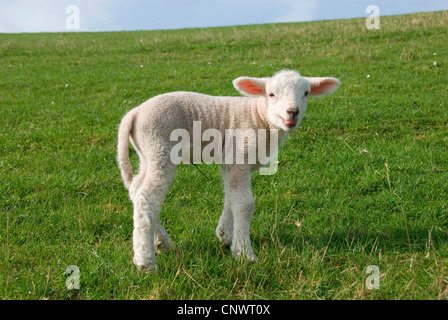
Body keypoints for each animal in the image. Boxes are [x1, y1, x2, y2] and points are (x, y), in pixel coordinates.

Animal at [117, 69, 342, 270]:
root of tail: (134, 113)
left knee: (136, 191)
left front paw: (226, 235)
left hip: (147, 154)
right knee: (147, 198)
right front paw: (244, 253)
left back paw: (161, 242)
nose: (292, 112)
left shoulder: (232, 162)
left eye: (306, 93)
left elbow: (231, 198)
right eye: (271, 94)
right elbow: (245, 204)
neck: (259, 117)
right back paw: (145, 261)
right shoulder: (239, 157)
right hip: (159, 147)